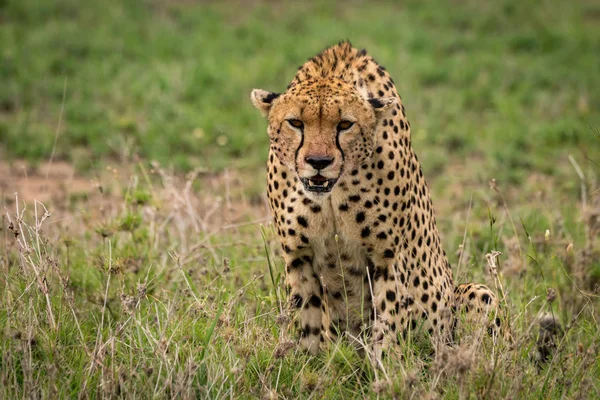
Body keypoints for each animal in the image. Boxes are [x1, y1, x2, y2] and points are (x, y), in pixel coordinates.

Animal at [251, 41, 500, 362]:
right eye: (295, 123)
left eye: (345, 124)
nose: (318, 162)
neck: (332, 194)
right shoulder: (298, 256)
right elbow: (307, 320)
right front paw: (306, 366)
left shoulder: (388, 258)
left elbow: (388, 321)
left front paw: (386, 368)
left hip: (475, 293)